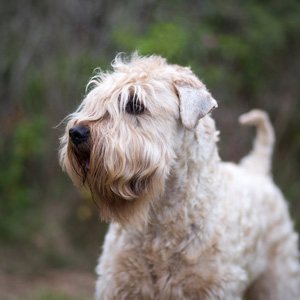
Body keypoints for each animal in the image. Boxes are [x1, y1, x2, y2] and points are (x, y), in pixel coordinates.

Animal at [59, 54, 300, 300]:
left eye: (135, 105)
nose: (77, 132)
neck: (161, 219)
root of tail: (257, 169)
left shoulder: (211, 289)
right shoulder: (120, 286)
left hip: (278, 277)